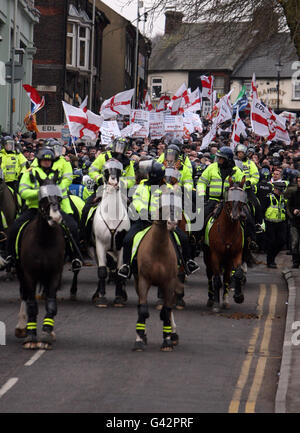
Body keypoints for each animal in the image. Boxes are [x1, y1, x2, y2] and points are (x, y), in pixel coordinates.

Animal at [15, 171, 65, 348]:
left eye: (59, 197)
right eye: (43, 198)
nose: (55, 217)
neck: (44, 240)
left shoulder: (55, 273)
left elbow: (51, 304)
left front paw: (46, 334)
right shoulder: (29, 274)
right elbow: (31, 304)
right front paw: (31, 336)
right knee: (24, 295)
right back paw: (22, 327)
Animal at [92, 159, 131, 308]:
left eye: (119, 169)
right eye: (106, 170)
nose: (113, 181)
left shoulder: (121, 247)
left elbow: (121, 271)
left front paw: (119, 297)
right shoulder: (100, 245)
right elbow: (102, 271)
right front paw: (102, 298)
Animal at [133, 185, 183, 352]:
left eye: (180, 203)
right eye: (161, 201)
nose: (172, 224)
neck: (158, 248)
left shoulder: (169, 282)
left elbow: (166, 311)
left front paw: (167, 340)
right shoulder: (143, 280)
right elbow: (143, 310)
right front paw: (139, 339)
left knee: (170, 307)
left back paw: (173, 334)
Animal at [204, 176, 246, 310]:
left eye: (242, 199)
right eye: (229, 199)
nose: (236, 216)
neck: (228, 231)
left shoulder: (236, 254)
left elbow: (238, 274)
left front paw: (238, 296)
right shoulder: (215, 255)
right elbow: (217, 279)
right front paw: (216, 302)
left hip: (227, 261)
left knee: (227, 277)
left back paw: (226, 300)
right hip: (208, 257)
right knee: (210, 275)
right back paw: (211, 299)